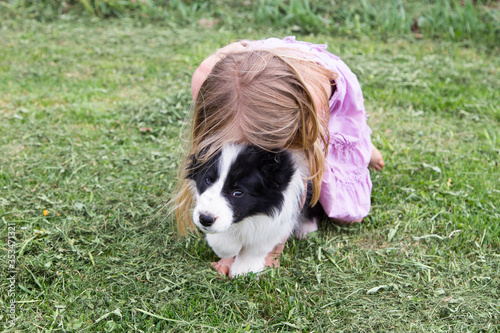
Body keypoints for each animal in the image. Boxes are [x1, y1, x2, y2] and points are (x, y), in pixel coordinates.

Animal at [186, 144, 318, 276]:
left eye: (238, 193)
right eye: (207, 180)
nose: (205, 219)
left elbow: (264, 238)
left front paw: (245, 269)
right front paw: (226, 248)